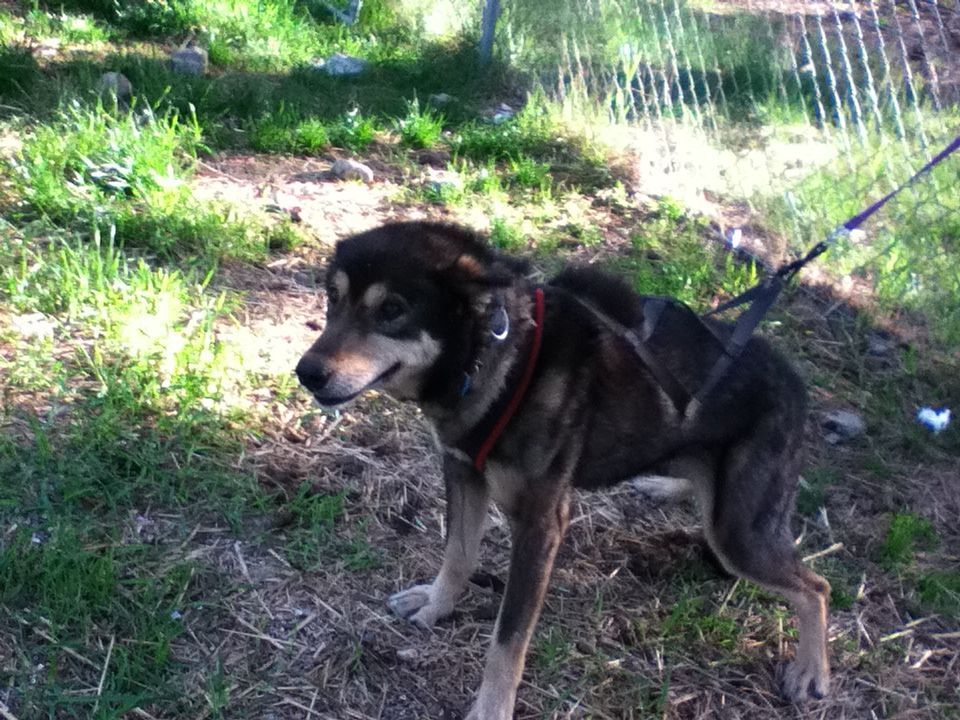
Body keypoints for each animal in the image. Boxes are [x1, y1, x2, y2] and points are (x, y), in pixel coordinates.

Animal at [296, 221, 830, 719]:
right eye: (333, 297)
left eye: (391, 309)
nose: (307, 373)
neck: (496, 356)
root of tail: (795, 379)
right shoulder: (463, 474)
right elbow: (458, 556)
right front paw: (436, 603)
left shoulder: (541, 525)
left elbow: (508, 640)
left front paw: (491, 709)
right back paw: (665, 483)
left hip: (737, 533)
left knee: (816, 587)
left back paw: (811, 671)